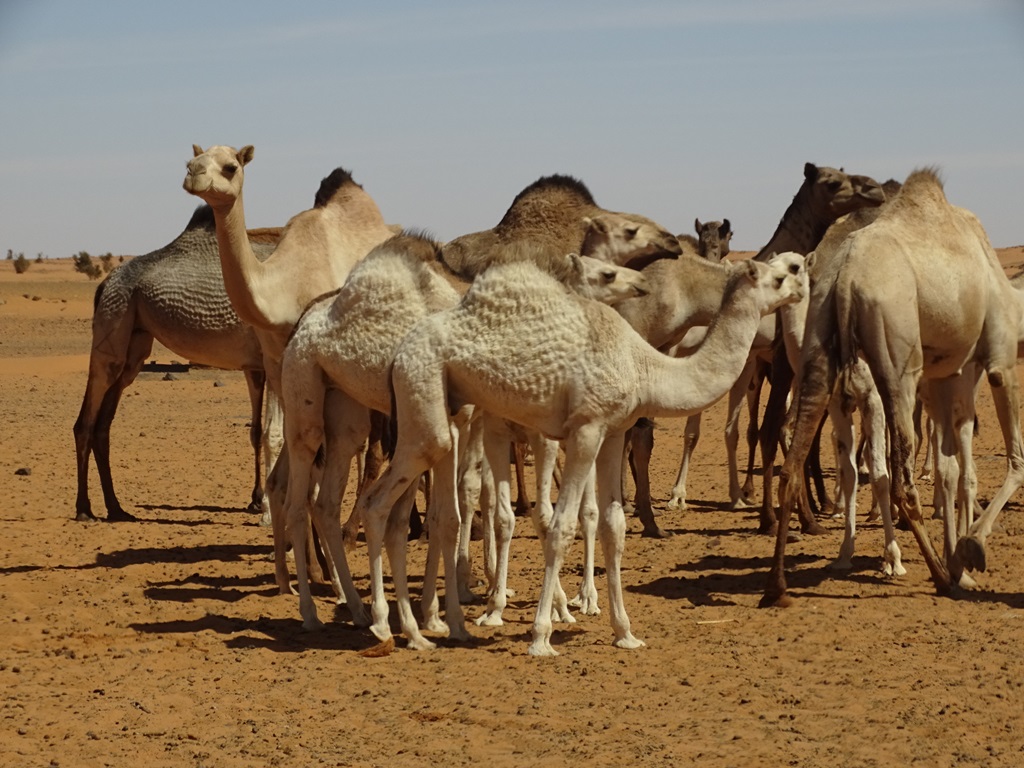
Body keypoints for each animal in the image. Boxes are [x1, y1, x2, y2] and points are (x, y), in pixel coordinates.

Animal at [72, 204, 280, 524]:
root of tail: (106, 282)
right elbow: (273, 432)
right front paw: (267, 507)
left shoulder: (255, 365)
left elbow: (258, 431)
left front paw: (257, 500)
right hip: (115, 313)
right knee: (86, 421)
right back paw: (84, 508)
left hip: (133, 341)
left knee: (103, 424)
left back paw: (116, 508)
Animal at [352, 252, 806, 655]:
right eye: (778, 277)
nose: (801, 288)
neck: (644, 366)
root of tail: (398, 353)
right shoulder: (586, 428)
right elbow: (561, 526)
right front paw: (541, 636)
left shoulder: (613, 430)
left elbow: (613, 525)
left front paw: (625, 632)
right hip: (424, 400)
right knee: (379, 502)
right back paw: (384, 626)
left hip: (440, 410)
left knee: (410, 513)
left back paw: (428, 631)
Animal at [765, 167, 1024, 606]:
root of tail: (846, 276)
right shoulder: (998, 361)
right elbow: (1014, 461)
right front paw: (969, 550)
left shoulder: (944, 376)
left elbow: (950, 467)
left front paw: (960, 555)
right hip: (897, 361)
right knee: (901, 480)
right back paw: (940, 576)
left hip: (820, 348)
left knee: (793, 465)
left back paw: (778, 586)